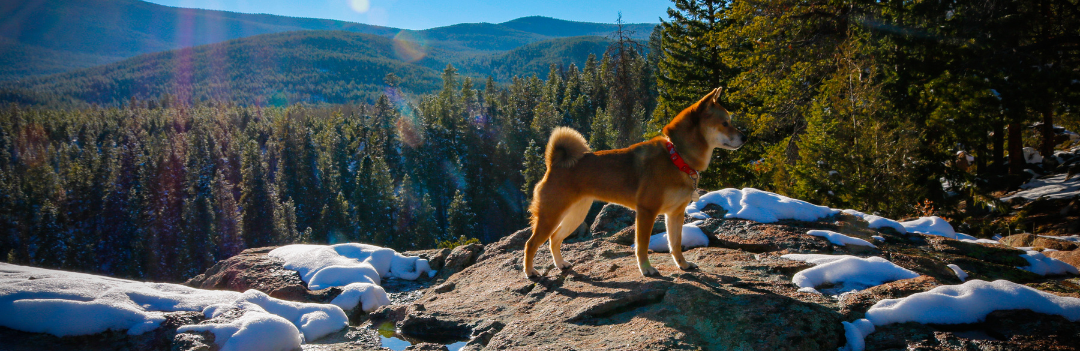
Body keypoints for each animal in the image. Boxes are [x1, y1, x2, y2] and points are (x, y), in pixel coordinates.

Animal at [520, 86, 743, 276]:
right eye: (725, 123)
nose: (745, 137)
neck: (677, 157)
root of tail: (554, 164)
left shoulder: (675, 214)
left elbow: (675, 243)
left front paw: (683, 265)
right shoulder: (647, 211)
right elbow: (643, 245)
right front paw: (646, 269)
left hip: (575, 214)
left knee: (554, 238)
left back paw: (560, 264)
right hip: (551, 214)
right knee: (531, 243)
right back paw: (530, 272)